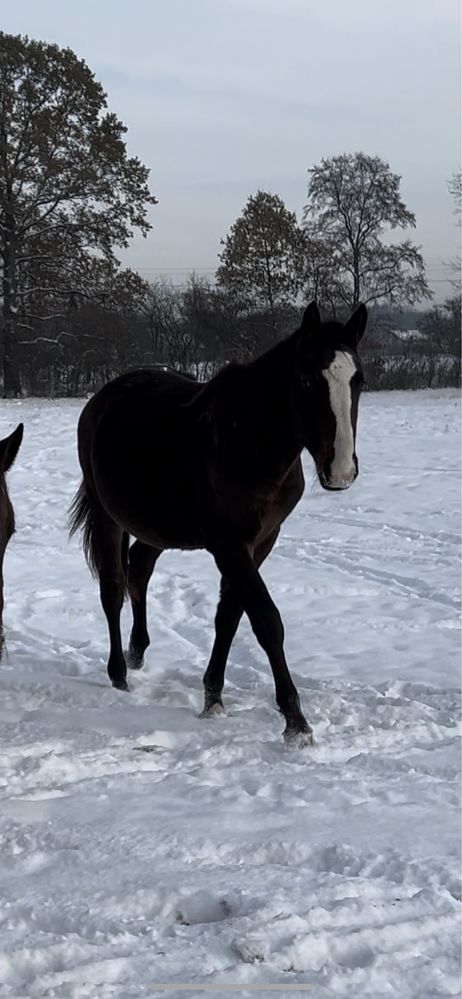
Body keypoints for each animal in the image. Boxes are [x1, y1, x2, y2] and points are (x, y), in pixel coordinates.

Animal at [69, 300, 364, 748]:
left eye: (358, 380)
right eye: (308, 380)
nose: (342, 471)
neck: (245, 441)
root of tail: (101, 400)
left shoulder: (261, 541)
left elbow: (230, 616)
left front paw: (213, 697)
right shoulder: (228, 544)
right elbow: (266, 620)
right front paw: (296, 721)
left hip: (156, 527)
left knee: (139, 569)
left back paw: (138, 651)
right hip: (107, 518)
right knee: (113, 589)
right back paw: (118, 673)